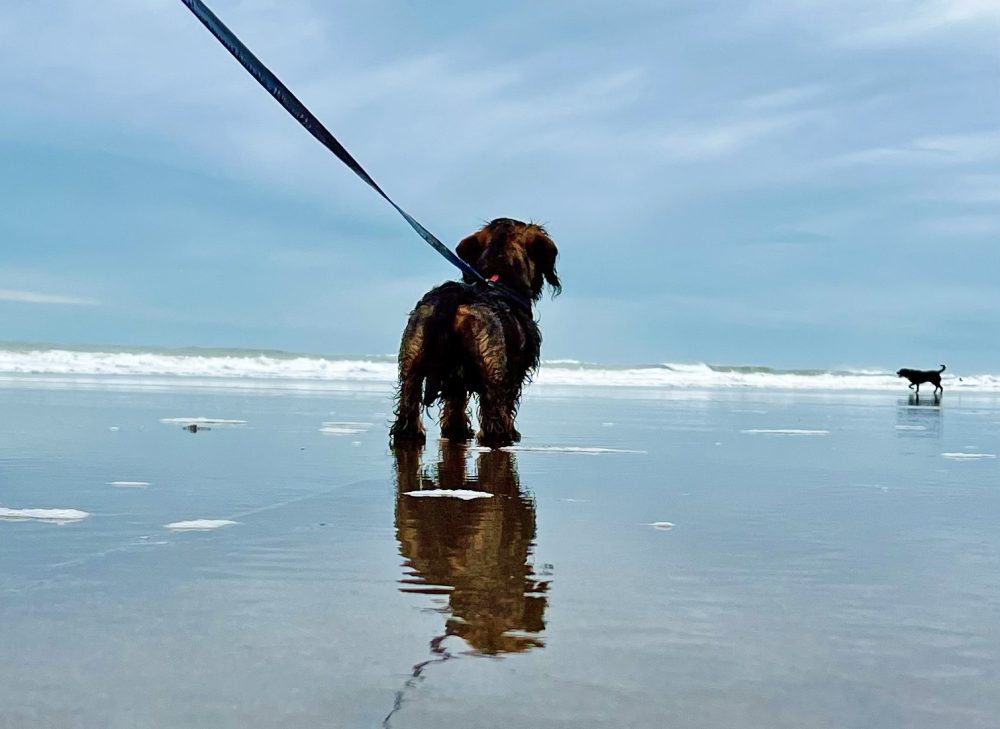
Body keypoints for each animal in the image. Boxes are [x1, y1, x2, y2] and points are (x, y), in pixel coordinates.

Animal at [390, 216, 564, 446]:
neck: (500, 279)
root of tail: (458, 297)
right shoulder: (514, 375)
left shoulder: (456, 383)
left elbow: (454, 408)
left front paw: (457, 430)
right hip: (493, 370)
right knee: (494, 418)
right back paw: (503, 437)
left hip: (413, 357)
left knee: (407, 410)